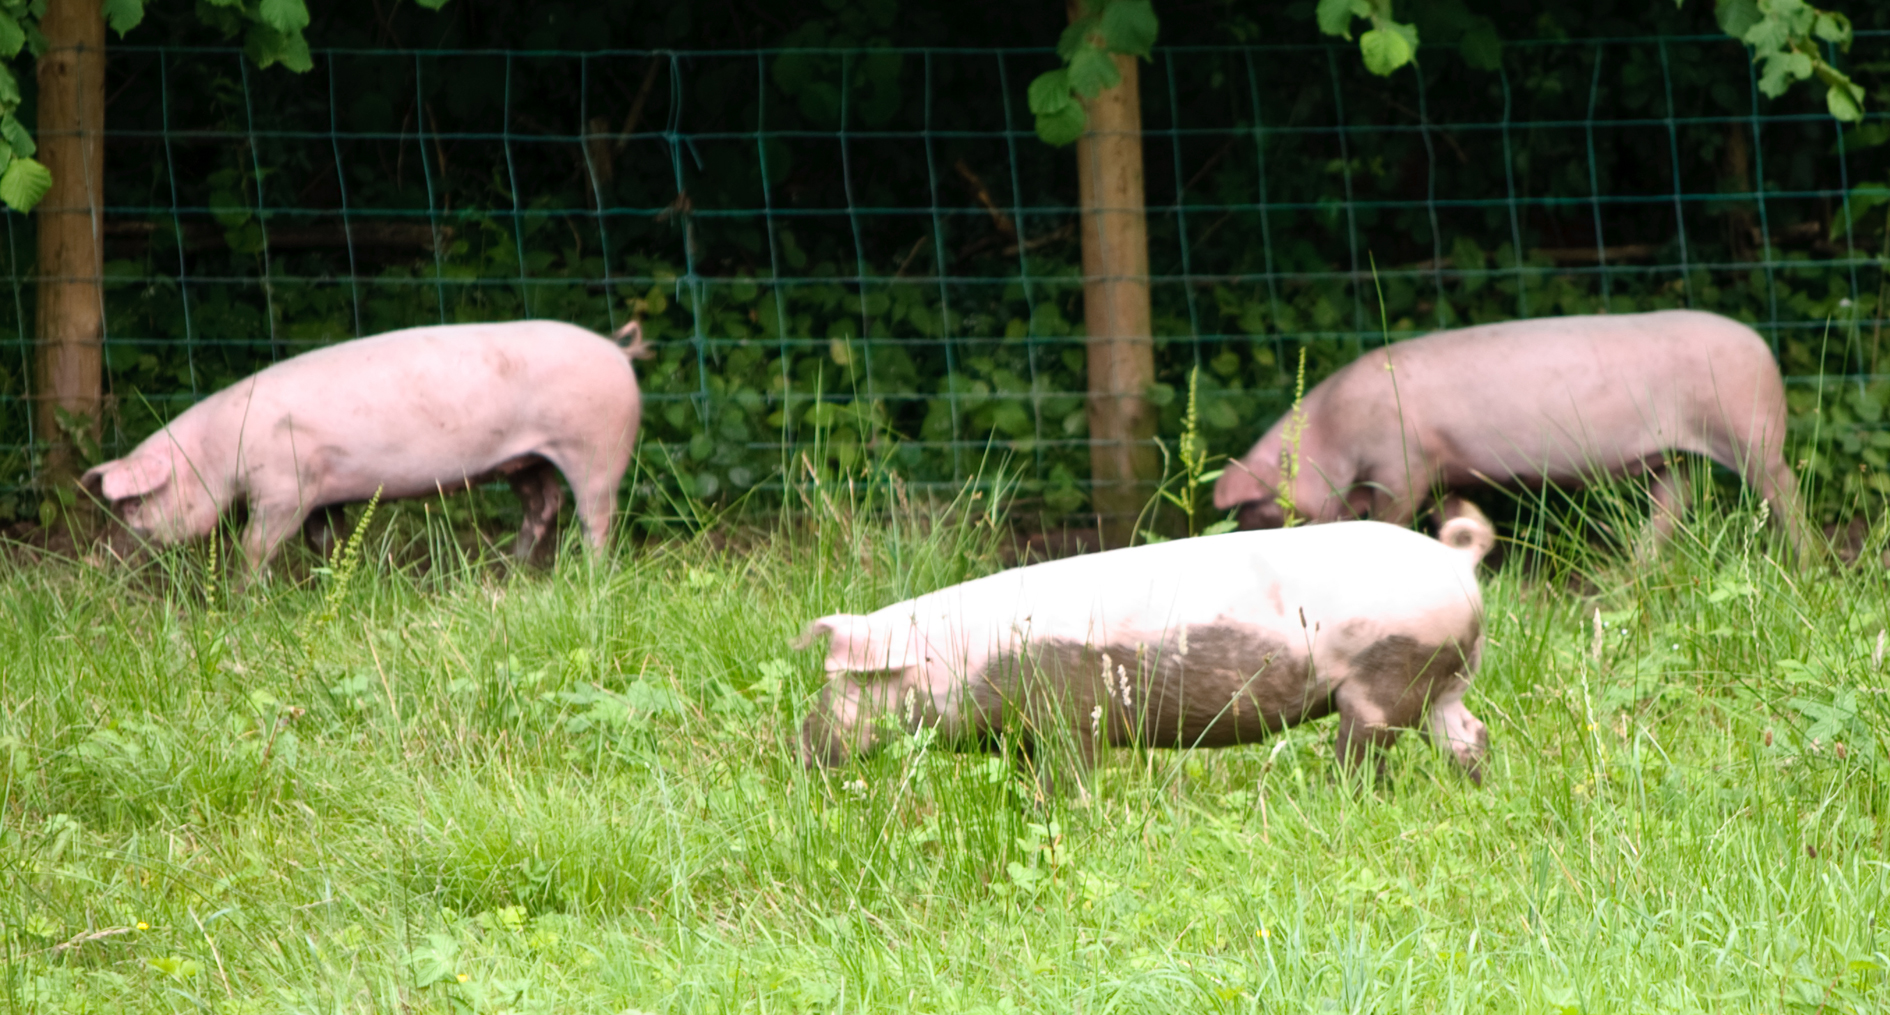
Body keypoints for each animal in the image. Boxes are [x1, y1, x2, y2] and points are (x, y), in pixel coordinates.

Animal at [81, 319, 650, 575]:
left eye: (137, 502)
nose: (99, 557)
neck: (218, 453)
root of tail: (617, 350)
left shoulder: (285, 487)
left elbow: (255, 545)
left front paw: (248, 597)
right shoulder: (318, 493)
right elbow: (324, 539)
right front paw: (334, 577)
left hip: (596, 444)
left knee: (596, 514)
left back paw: (589, 574)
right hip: (526, 460)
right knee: (543, 504)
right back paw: (509, 569)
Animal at [797, 510, 1497, 795]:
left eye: (849, 683)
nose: (800, 746)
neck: (961, 656)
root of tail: (1457, 557)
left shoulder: (1069, 714)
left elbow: (1070, 777)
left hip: (1387, 673)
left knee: (1366, 749)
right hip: (1444, 678)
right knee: (1469, 733)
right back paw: (1475, 792)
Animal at [1212, 310, 1810, 556]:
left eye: (1255, 508)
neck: (1332, 437)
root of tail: (1764, 347)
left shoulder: (1401, 463)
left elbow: (1394, 515)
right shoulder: (1442, 470)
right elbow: (1456, 517)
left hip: (1750, 429)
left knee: (1783, 490)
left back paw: (1808, 566)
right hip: (1675, 454)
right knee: (1673, 505)